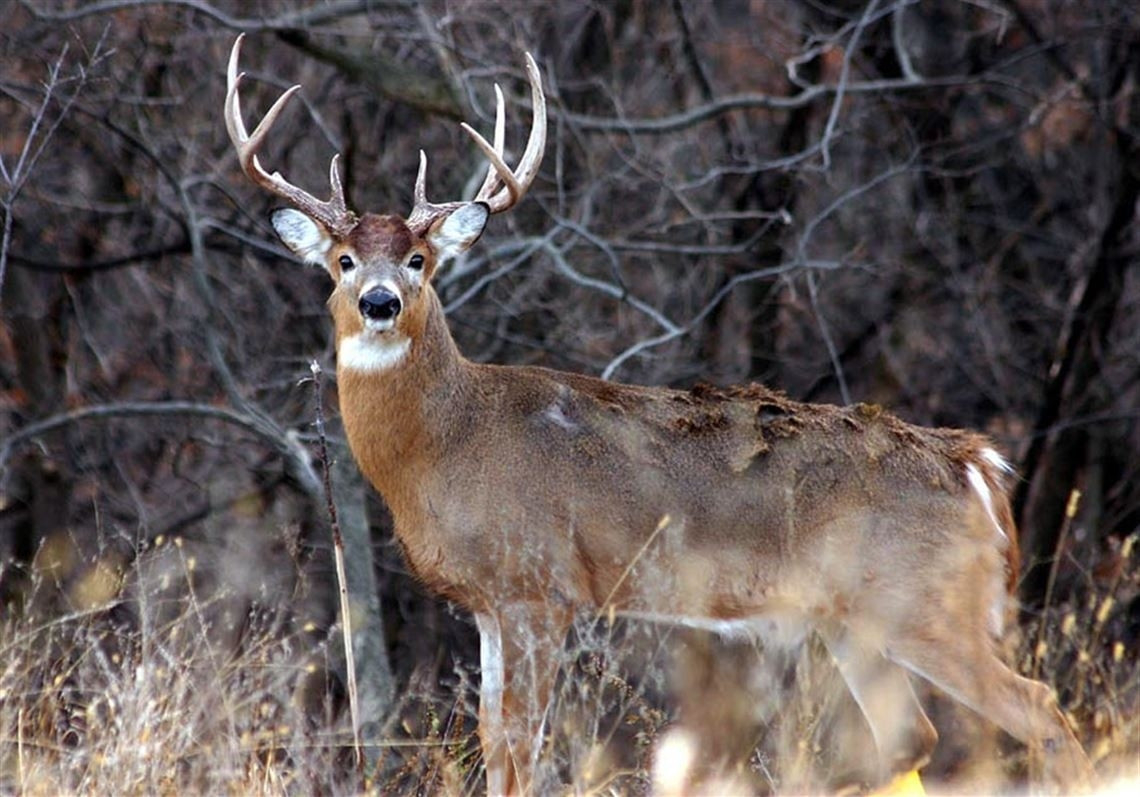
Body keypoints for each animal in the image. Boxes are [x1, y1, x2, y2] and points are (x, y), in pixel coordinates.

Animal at [224, 35, 1094, 797]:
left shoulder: (542, 585)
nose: (379, 301)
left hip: (925, 603)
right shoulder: (491, 603)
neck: (447, 442)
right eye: (342, 260)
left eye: (418, 260)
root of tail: (977, 463)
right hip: (856, 619)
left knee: (1040, 710)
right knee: (913, 738)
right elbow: (494, 737)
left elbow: (522, 743)